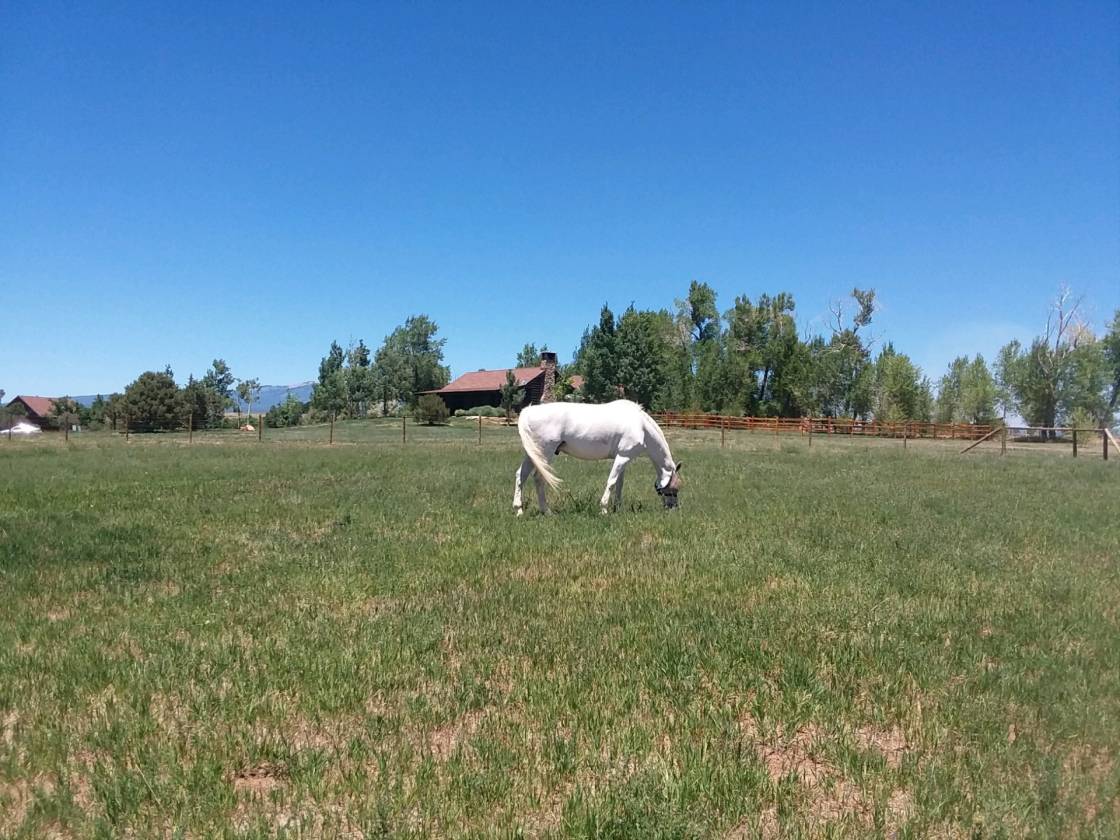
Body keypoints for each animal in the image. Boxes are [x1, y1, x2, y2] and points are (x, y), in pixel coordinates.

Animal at [513, 400, 682, 515]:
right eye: (674, 489)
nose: (673, 507)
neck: (641, 426)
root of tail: (528, 411)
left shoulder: (622, 459)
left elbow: (619, 484)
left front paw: (617, 508)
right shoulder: (623, 457)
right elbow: (611, 482)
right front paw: (604, 509)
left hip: (533, 454)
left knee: (521, 475)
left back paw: (519, 510)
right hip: (544, 454)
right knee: (538, 478)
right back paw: (546, 511)